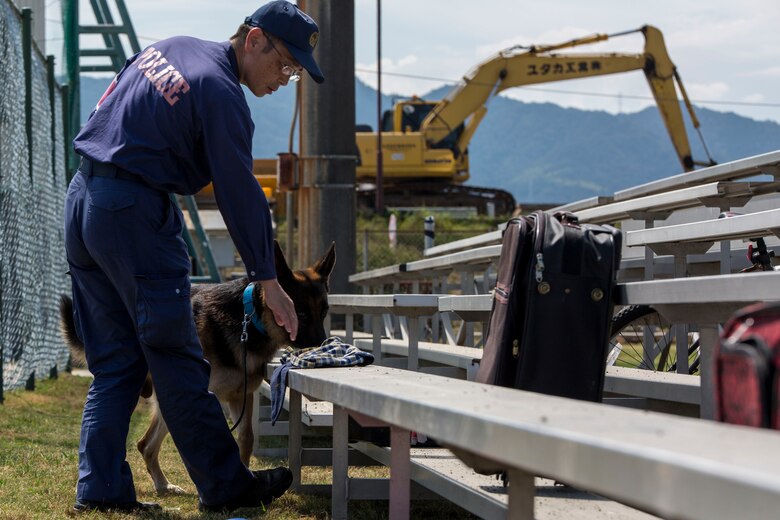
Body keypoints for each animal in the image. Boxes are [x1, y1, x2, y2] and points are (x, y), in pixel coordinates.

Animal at [58, 242, 332, 494]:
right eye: (301, 314)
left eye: (324, 312)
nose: (322, 345)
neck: (247, 319)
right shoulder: (210, 396)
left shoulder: (241, 396)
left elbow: (246, 438)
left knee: (145, 445)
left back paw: (163, 485)